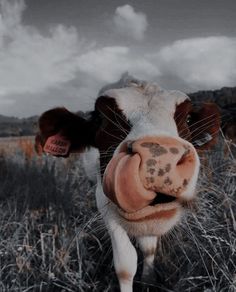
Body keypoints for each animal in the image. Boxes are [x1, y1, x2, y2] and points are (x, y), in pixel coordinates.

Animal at [35, 76, 221, 292]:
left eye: (189, 119)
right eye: (100, 119)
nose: (159, 157)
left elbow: (149, 248)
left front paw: (148, 281)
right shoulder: (103, 202)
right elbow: (125, 264)